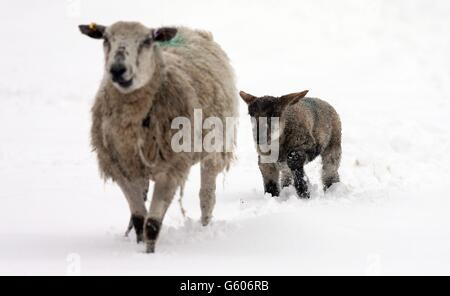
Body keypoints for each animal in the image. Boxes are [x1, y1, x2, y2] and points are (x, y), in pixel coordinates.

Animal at [79, 22, 239, 252]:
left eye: (147, 41)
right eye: (106, 39)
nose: (117, 70)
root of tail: (189, 29)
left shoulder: (170, 170)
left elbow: (152, 223)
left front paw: (149, 254)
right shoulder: (121, 169)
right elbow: (139, 218)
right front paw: (139, 246)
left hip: (215, 147)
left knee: (207, 195)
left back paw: (205, 225)